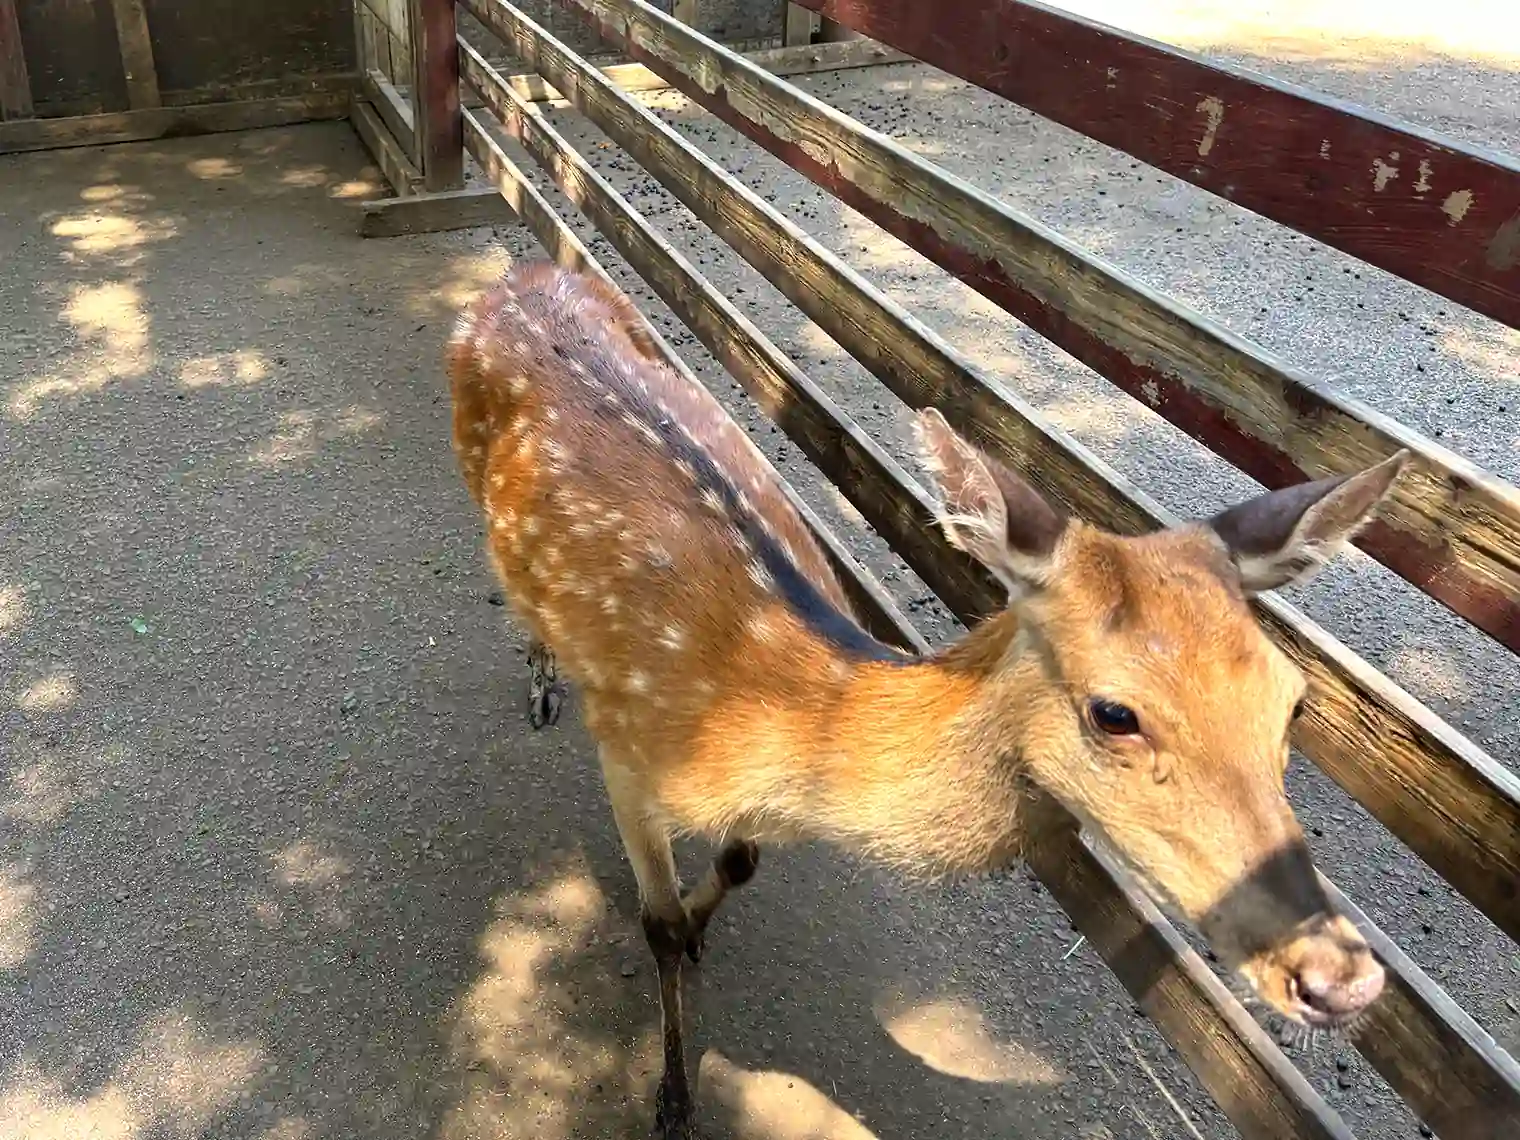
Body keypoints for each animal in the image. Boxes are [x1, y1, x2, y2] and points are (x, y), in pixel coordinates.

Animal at [446, 260, 1402, 1140]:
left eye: (1293, 703)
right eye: (1114, 712)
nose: (1342, 977)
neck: (769, 713)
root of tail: (516, 273)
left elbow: (740, 864)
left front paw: (711, 924)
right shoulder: (629, 746)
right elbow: (660, 926)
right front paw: (674, 1101)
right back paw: (541, 682)